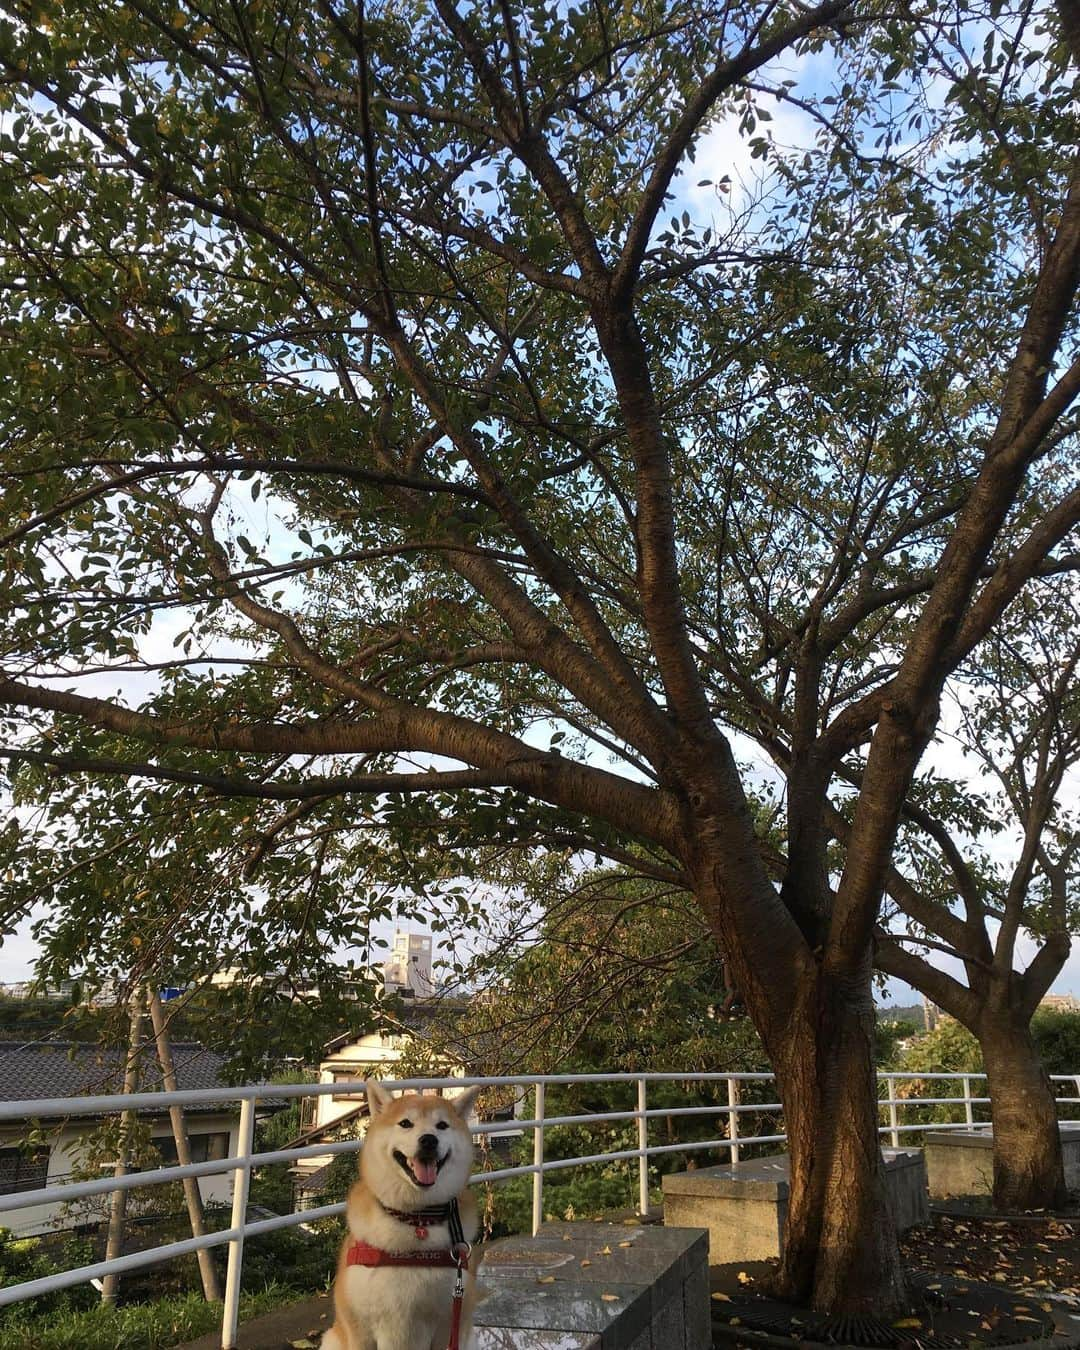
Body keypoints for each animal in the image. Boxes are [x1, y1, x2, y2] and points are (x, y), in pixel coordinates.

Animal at [322, 1080, 483, 1350]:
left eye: (442, 1125)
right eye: (405, 1123)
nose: (428, 1140)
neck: (415, 1219)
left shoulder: (449, 1325)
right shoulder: (360, 1330)